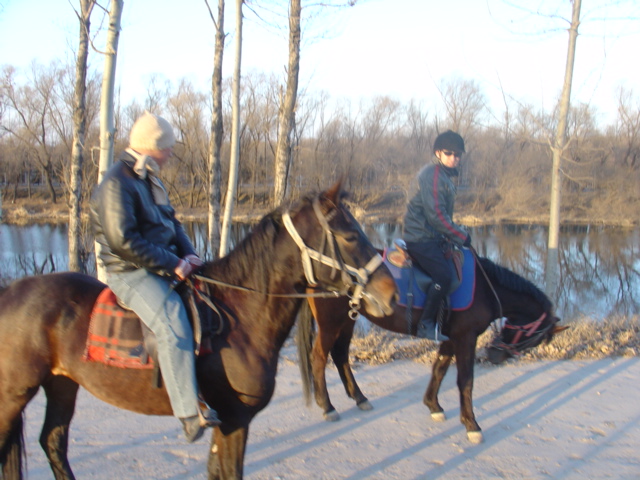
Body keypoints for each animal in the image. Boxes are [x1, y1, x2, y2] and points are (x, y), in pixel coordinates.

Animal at [0, 181, 398, 480]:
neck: (239, 317)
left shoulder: (226, 424)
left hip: (62, 384)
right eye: (349, 236)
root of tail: (10, 291)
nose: (391, 293)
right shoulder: (235, 419)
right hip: (15, 394)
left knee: (53, 443)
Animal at [298, 251, 564, 442]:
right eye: (536, 338)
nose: (494, 354)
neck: (485, 290)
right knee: (319, 357)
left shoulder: (450, 338)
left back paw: (359, 397)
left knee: (340, 354)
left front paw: (433, 405)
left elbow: (439, 369)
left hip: (348, 319)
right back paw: (327, 406)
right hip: (331, 323)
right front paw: (472, 425)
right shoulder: (466, 338)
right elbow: (465, 381)